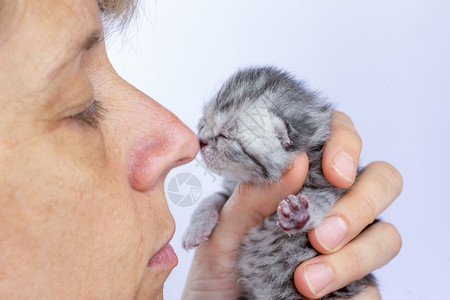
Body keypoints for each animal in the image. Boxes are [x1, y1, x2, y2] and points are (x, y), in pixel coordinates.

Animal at [183, 67, 376, 298]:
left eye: (225, 135)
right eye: (204, 121)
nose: (200, 141)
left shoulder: (332, 185)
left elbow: (321, 199)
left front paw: (299, 214)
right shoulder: (229, 192)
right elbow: (211, 199)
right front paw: (196, 228)